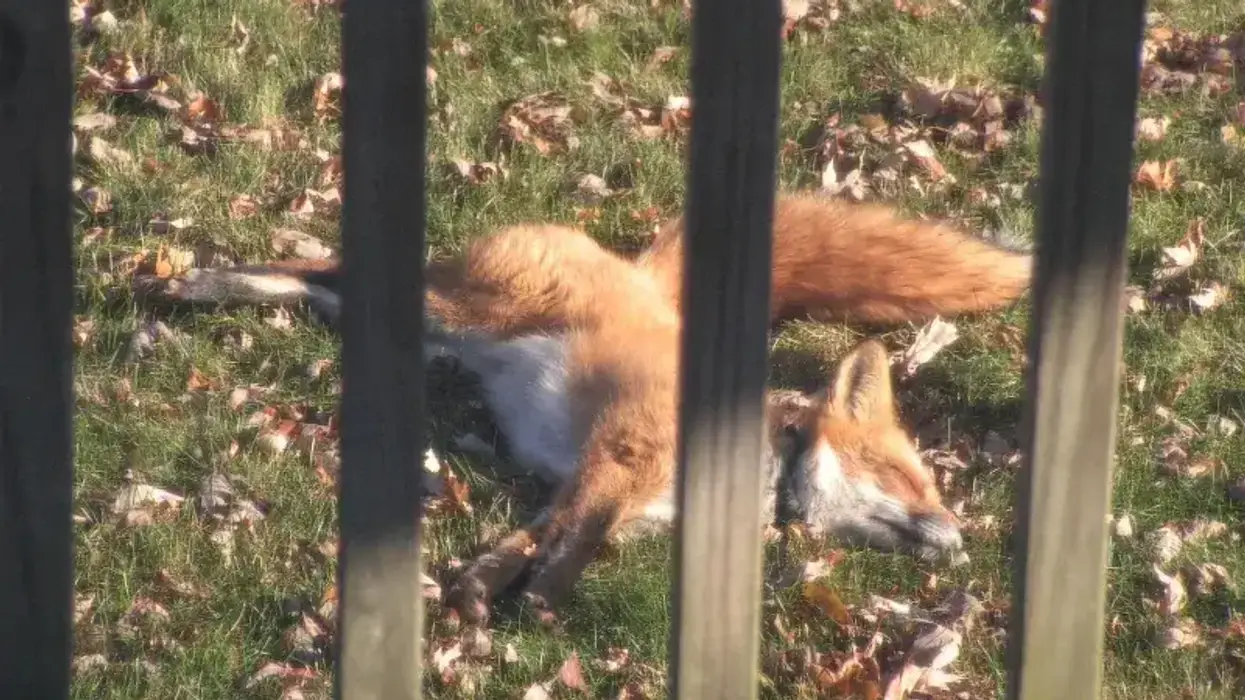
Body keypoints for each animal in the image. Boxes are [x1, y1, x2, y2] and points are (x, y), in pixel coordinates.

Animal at [135, 192, 1033, 626]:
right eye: (907, 480)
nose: (958, 537)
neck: (758, 457)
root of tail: (634, 267)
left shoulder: (599, 484)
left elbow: (537, 537)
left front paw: (481, 591)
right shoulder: (622, 458)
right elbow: (577, 544)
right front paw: (540, 603)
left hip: (430, 336)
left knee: (324, 287)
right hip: (460, 310)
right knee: (327, 263)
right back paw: (195, 282)